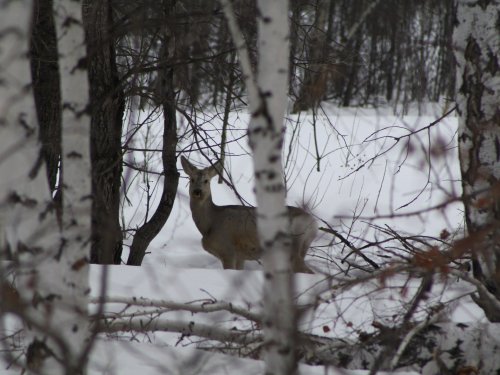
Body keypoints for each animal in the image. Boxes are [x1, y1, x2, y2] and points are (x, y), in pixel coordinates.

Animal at [181, 157, 316, 274]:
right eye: (191, 179)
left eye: (206, 181)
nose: (197, 191)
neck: (210, 223)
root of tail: (313, 221)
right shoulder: (240, 256)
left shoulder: (227, 250)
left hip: (292, 245)